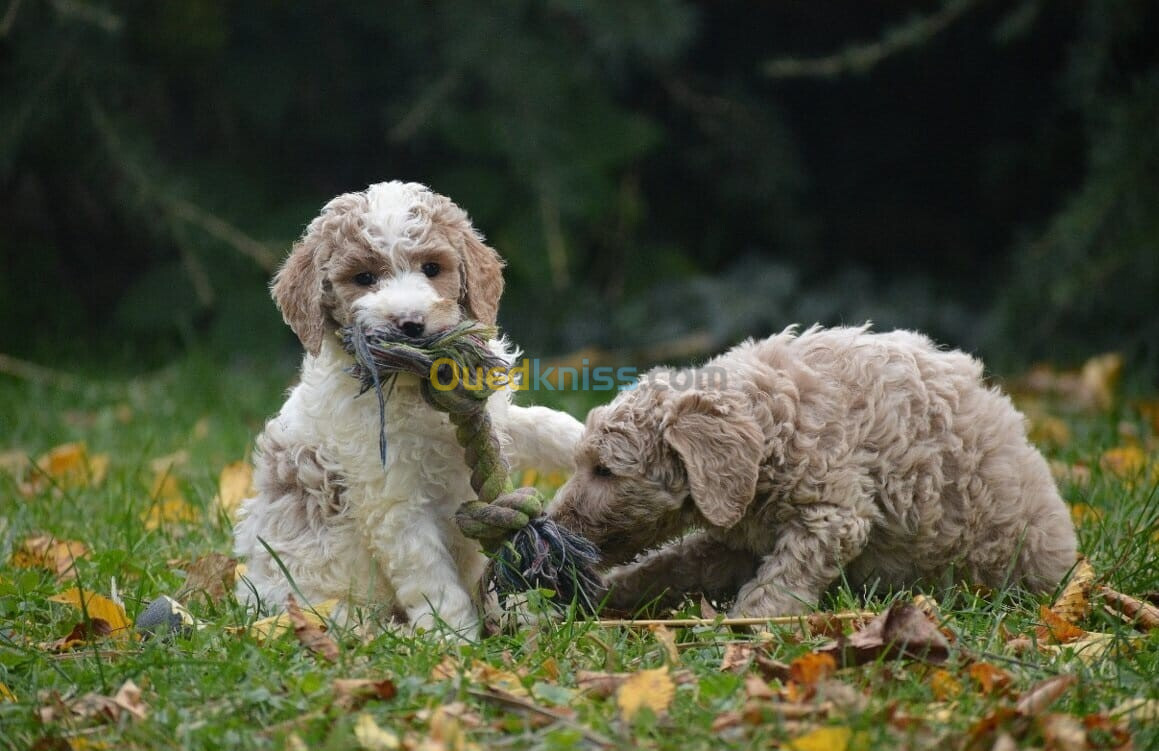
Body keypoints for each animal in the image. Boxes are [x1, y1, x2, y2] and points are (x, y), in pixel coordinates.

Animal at [234, 180, 584, 635]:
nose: (411, 324)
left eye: (432, 268)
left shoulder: (492, 419)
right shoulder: (395, 499)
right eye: (364, 278)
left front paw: (591, 438)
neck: (412, 390)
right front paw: (454, 638)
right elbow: (430, 573)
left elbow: (539, 423)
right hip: (312, 603)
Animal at [549, 324, 1075, 616]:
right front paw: (611, 590)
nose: (552, 523)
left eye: (604, 471)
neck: (772, 429)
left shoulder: (834, 512)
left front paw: (747, 627)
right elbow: (671, 562)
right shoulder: (736, 540)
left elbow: (782, 577)